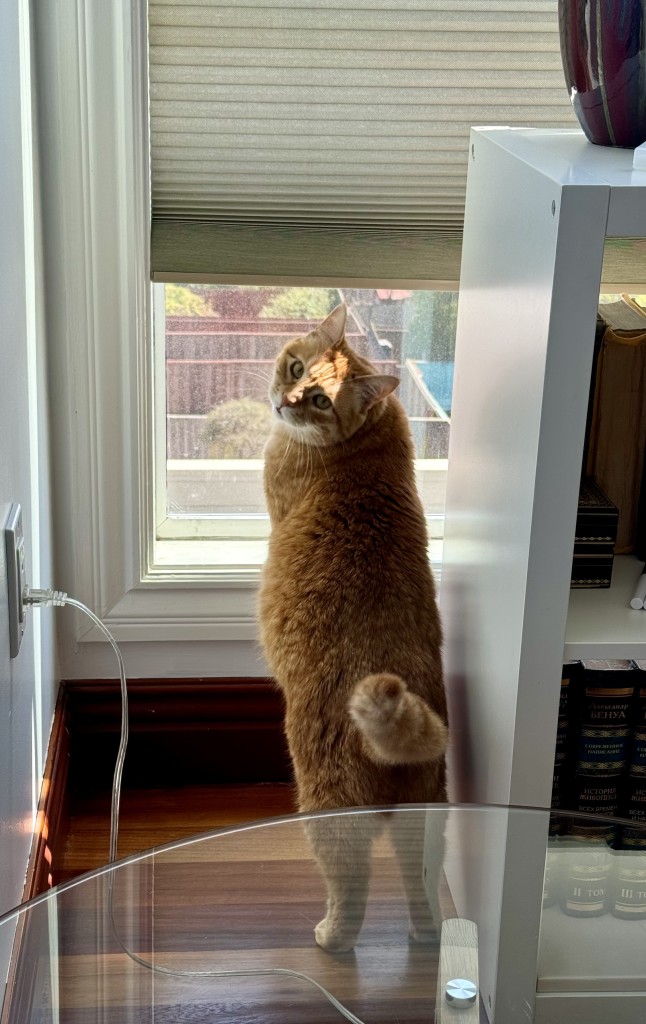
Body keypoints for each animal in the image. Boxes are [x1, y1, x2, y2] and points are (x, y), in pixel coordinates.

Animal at [259, 301, 450, 950]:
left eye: (320, 400)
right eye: (296, 367)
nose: (284, 401)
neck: (367, 441)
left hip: (325, 807)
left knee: (353, 887)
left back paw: (329, 936)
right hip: (429, 823)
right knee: (421, 891)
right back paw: (425, 936)